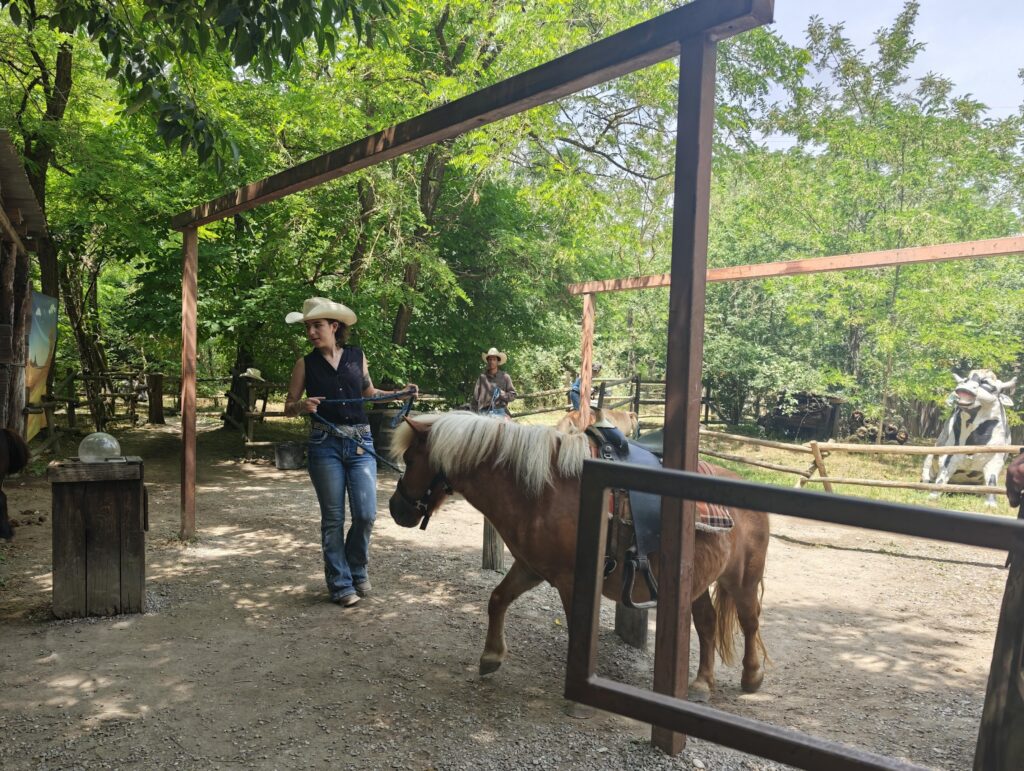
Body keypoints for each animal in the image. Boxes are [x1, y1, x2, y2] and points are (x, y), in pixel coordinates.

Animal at [388, 412, 769, 700]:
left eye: (409, 459)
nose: (395, 508)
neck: (542, 490)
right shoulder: (530, 567)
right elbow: (497, 599)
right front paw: (491, 656)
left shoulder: (573, 580)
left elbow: (577, 631)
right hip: (696, 581)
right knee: (706, 622)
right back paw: (702, 682)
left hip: (741, 579)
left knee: (749, 620)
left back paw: (751, 677)